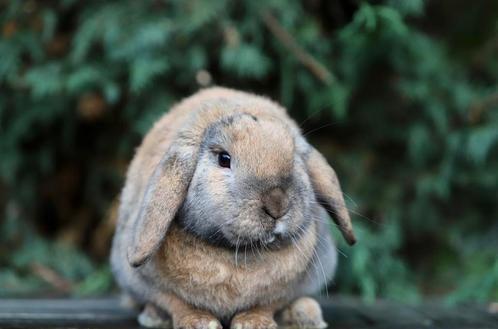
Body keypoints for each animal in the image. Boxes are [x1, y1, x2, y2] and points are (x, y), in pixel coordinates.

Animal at [111, 86, 356, 326]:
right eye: (224, 159)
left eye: (295, 159)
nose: (277, 205)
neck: (238, 254)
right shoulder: (145, 282)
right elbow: (173, 301)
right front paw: (198, 321)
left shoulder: (286, 289)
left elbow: (269, 303)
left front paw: (254, 322)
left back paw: (305, 314)